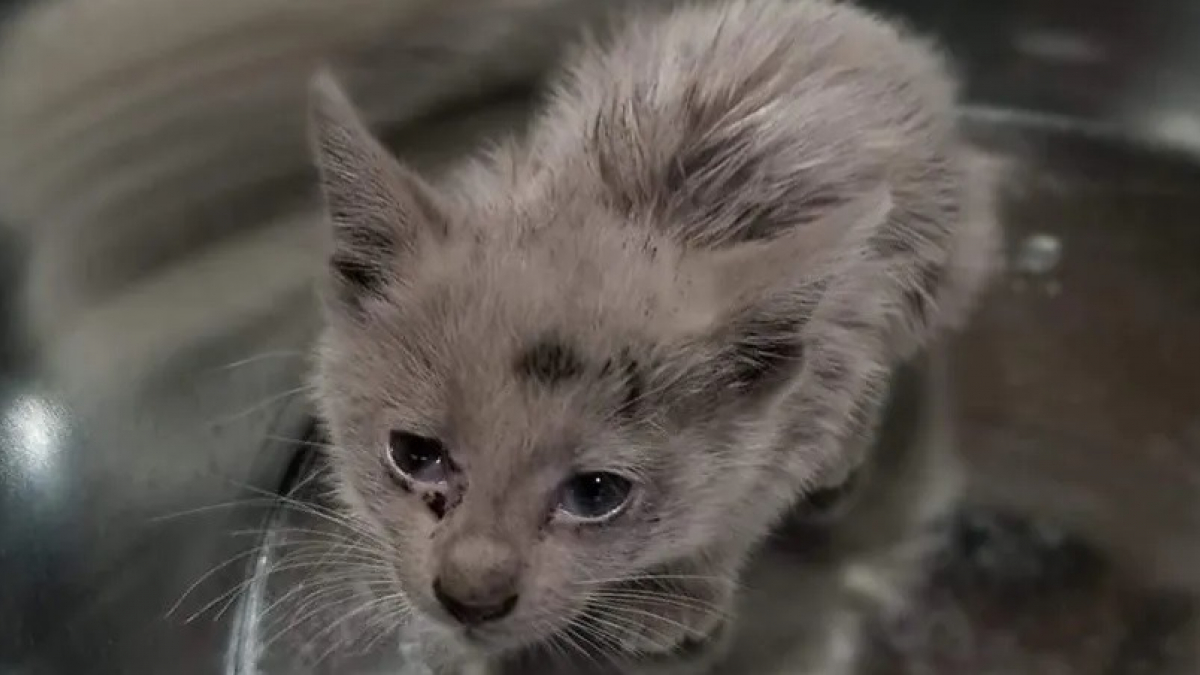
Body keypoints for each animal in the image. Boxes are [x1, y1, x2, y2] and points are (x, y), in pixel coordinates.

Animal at [307, 1, 993, 672]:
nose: (471, 597)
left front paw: (674, 592)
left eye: (597, 493)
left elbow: (757, 488)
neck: (636, 205)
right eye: (413, 453)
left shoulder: (831, 353)